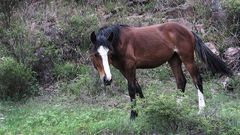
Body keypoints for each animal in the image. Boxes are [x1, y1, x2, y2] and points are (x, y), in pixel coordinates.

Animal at [89, 22, 232, 119]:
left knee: (197, 79)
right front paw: (146, 109)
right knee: (181, 82)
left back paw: (201, 109)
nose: (107, 79)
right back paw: (177, 107)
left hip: (187, 58)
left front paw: (133, 116)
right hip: (174, 60)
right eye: (96, 54)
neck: (120, 41)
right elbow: (137, 88)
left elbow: (131, 90)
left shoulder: (130, 67)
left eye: (108, 52)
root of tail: (188, 30)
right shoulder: (123, 69)